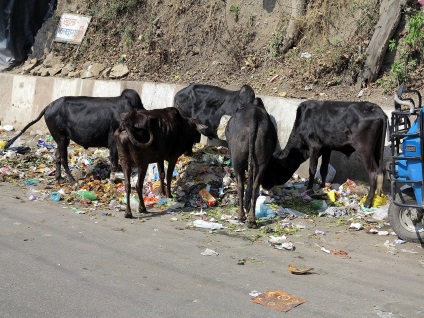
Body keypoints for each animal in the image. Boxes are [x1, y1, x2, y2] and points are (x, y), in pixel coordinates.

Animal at [4, 89, 145, 184]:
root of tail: (50, 106)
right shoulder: (113, 142)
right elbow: (114, 162)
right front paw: (113, 180)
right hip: (60, 137)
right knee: (63, 159)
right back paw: (72, 180)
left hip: (63, 139)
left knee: (57, 157)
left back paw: (59, 178)